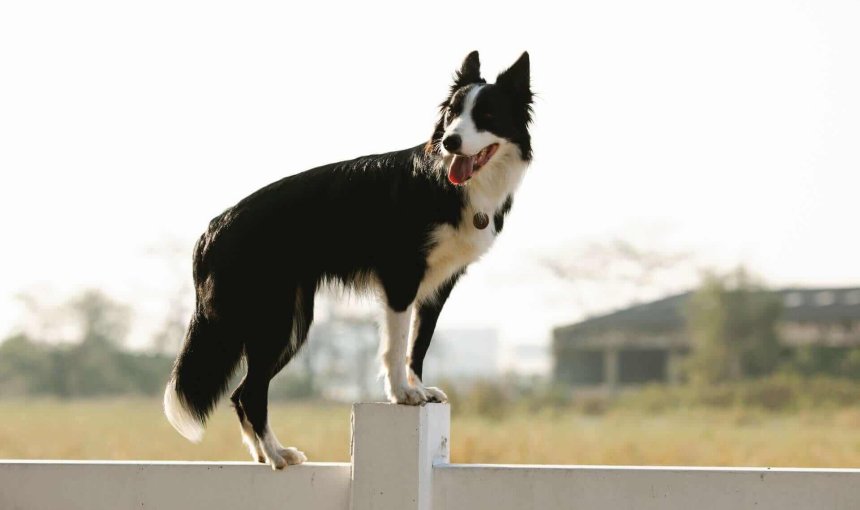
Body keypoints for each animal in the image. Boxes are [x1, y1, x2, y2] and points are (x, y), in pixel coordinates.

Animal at [163, 49, 532, 468]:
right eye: (453, 114)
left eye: (486, 115)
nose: (450, 141)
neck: (449, 183)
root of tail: (212, 230)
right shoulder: (401, 277)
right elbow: (396, 344)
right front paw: (401, 394)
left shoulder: (438, 286)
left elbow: (417, 347)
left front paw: (419, 389)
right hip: (274, 320)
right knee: (250, 391)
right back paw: (276, 455)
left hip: (291, 322)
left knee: (242, 392)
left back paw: (263, 453)